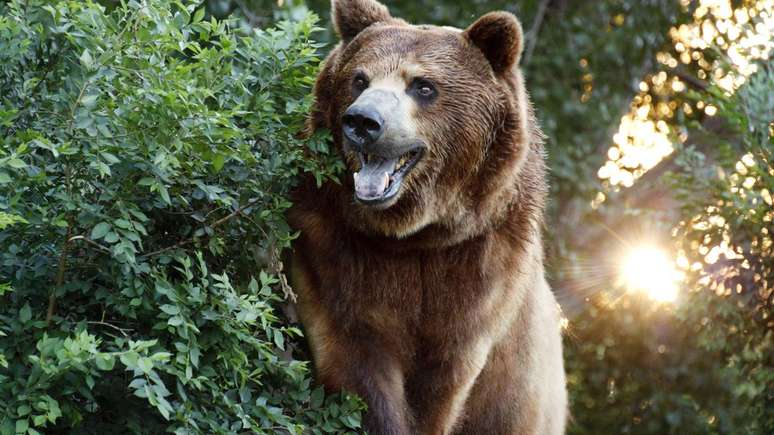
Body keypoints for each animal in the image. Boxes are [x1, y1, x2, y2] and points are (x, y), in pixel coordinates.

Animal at [288, 0, 568, 433]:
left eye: (423, 86)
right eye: (359, 79)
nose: (363, 121)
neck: (416, 234)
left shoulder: (479, 273)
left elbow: (440, 383)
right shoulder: (333, 251)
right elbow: (358, 360)